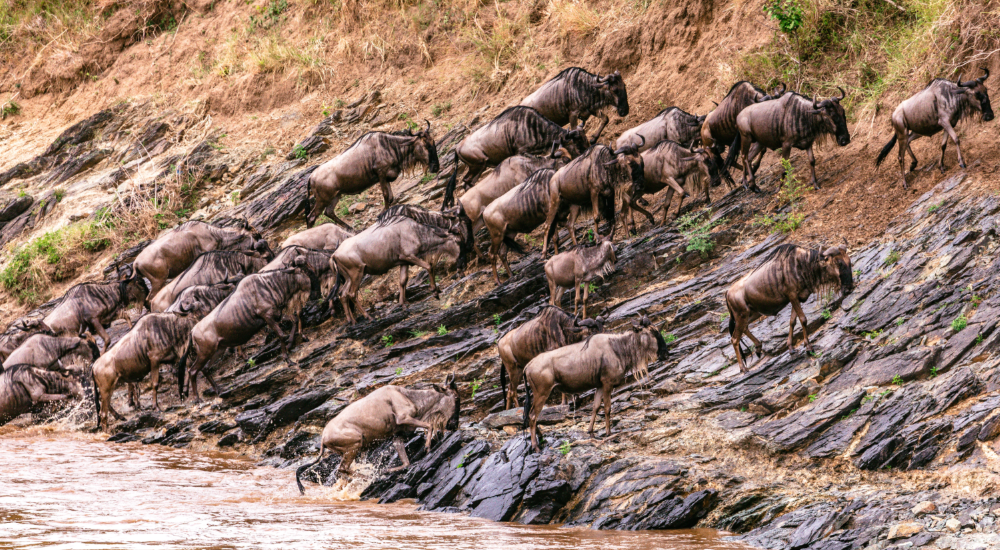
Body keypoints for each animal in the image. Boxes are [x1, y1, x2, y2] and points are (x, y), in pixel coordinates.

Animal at [292, 378, 458, 494]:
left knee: (344, 474)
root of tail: (323, 439)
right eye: (456, 397)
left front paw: (387, 471)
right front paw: (428, 447)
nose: (454, 425)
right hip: (355, 444)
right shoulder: (404, 418)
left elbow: (406, 463)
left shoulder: (397, 436)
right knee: (343, 469)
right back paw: (371, 477)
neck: (409, 397)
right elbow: (429, 426)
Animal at [520, 320, 668, 452]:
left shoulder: (600, 386)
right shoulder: (608, 384)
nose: (665, 354)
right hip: (542, 393)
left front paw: (591, 431)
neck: (617, 347)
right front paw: (609, 433)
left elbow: (595, 407)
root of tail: (528, 366)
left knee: (530, 416)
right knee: (532, 416)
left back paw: (541, 438)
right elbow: (607, 408)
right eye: (653, 332)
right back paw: (536, 446)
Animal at [728, 244, 852, 374]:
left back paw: (758, 348)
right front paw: (808, 347)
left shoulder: (796, 298)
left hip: (752, 314)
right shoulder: (792, 296)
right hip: (741, 315)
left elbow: (792, 321)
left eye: (849, 261)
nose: (849, 287)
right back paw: (743, 368)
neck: (803, 264)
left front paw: (791, 348)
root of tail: (727, 293)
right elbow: (803, 319)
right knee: (734, 339)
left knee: (745, 328)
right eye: (839, 263)